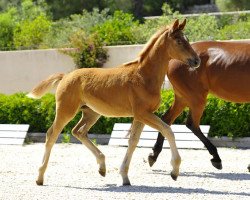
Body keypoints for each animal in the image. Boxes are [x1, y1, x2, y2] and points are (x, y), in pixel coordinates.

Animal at [27, 19, 199, 186]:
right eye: (179, 41)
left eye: (187, 39)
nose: (196, 61)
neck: (143, 76)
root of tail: (65, 76)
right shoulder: (143, 113)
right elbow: (167, 130)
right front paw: (174, 170)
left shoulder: (140, 116)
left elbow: (133, 141)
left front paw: (124, 177)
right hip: (66, 111)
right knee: (52, 134)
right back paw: (40, 177)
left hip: (91, 113)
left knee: (78, 131)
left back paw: (102, 166)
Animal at [147, 40, 250, 170]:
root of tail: (173, 59)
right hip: (196, 97)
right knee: (192, 124)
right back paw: (216, 158)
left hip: (182, 98)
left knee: (166, 120)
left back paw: (154, 155)